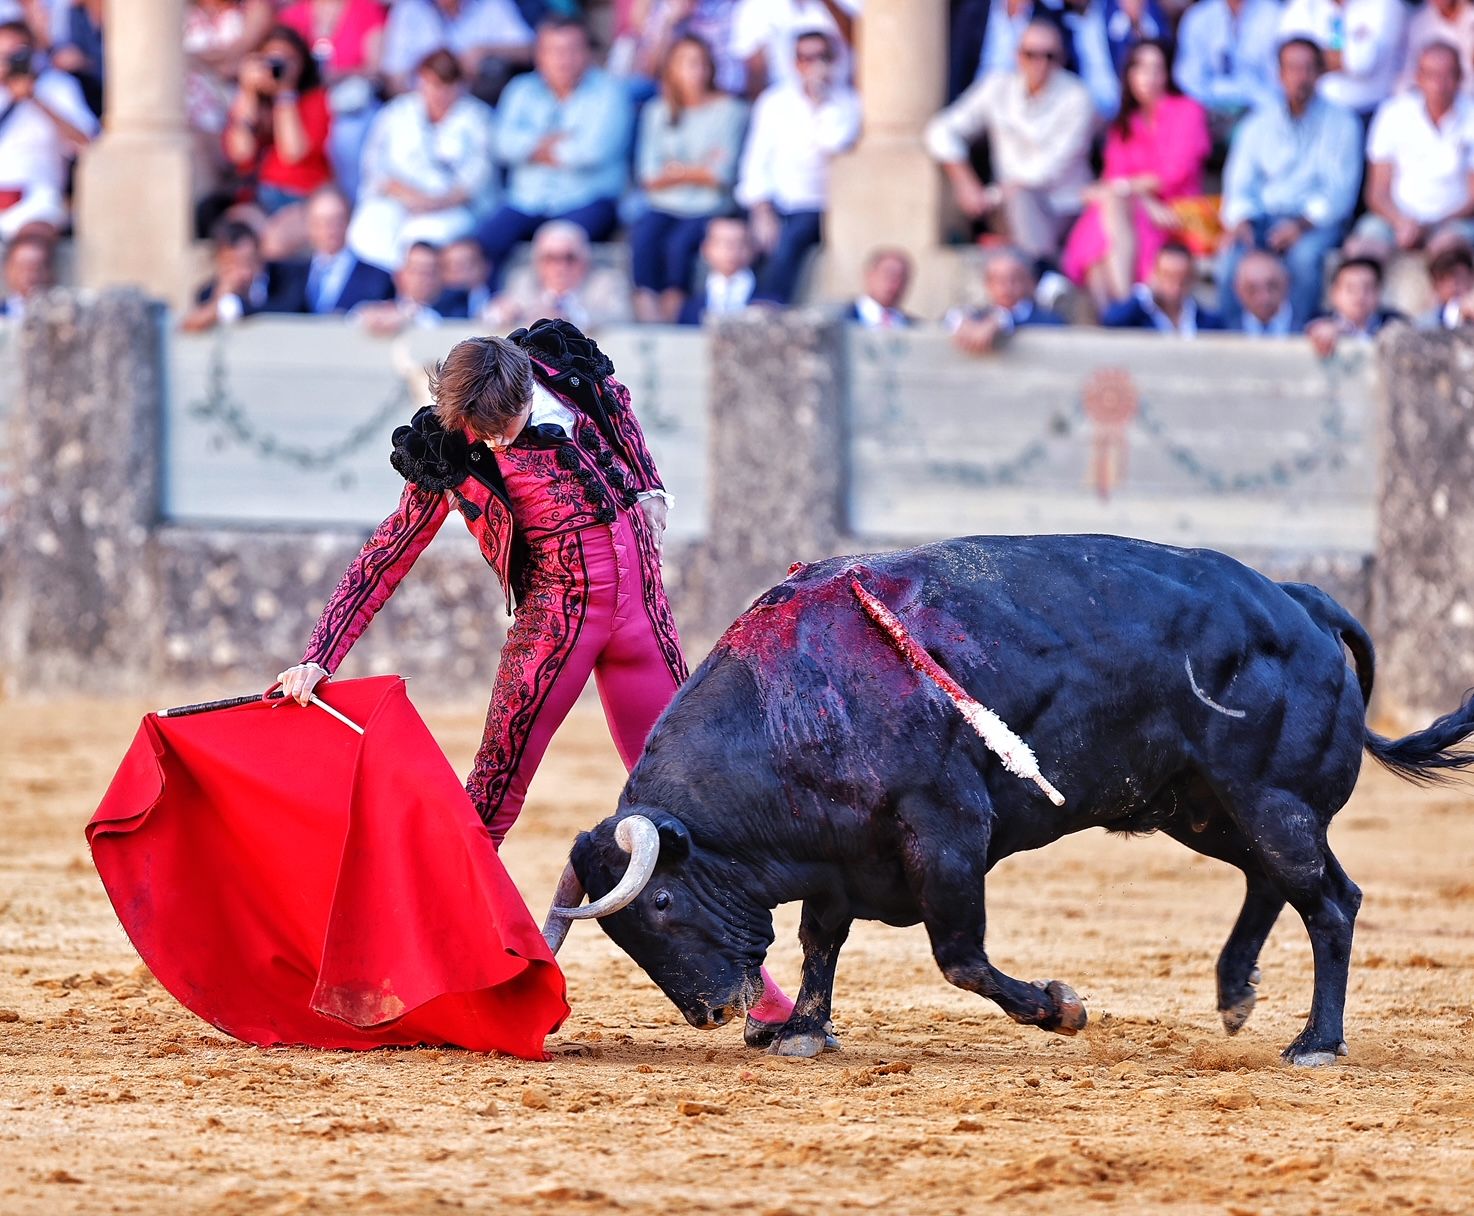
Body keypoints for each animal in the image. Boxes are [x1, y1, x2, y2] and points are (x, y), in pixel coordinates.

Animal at [554, 539, 1474, 1061]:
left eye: (661, 902)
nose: (713, 1013)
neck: (799, 698)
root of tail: (1297, 600)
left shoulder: (947, 830)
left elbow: (958, 956)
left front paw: (1060, 1010)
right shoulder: (840, 856)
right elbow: (821, 943)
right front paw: (803, 1032)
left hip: (1270, 800)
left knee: (1331, 902)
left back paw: (1316, 1041)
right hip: (1204, 807)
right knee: (1274, 882)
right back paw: (1235, 994)